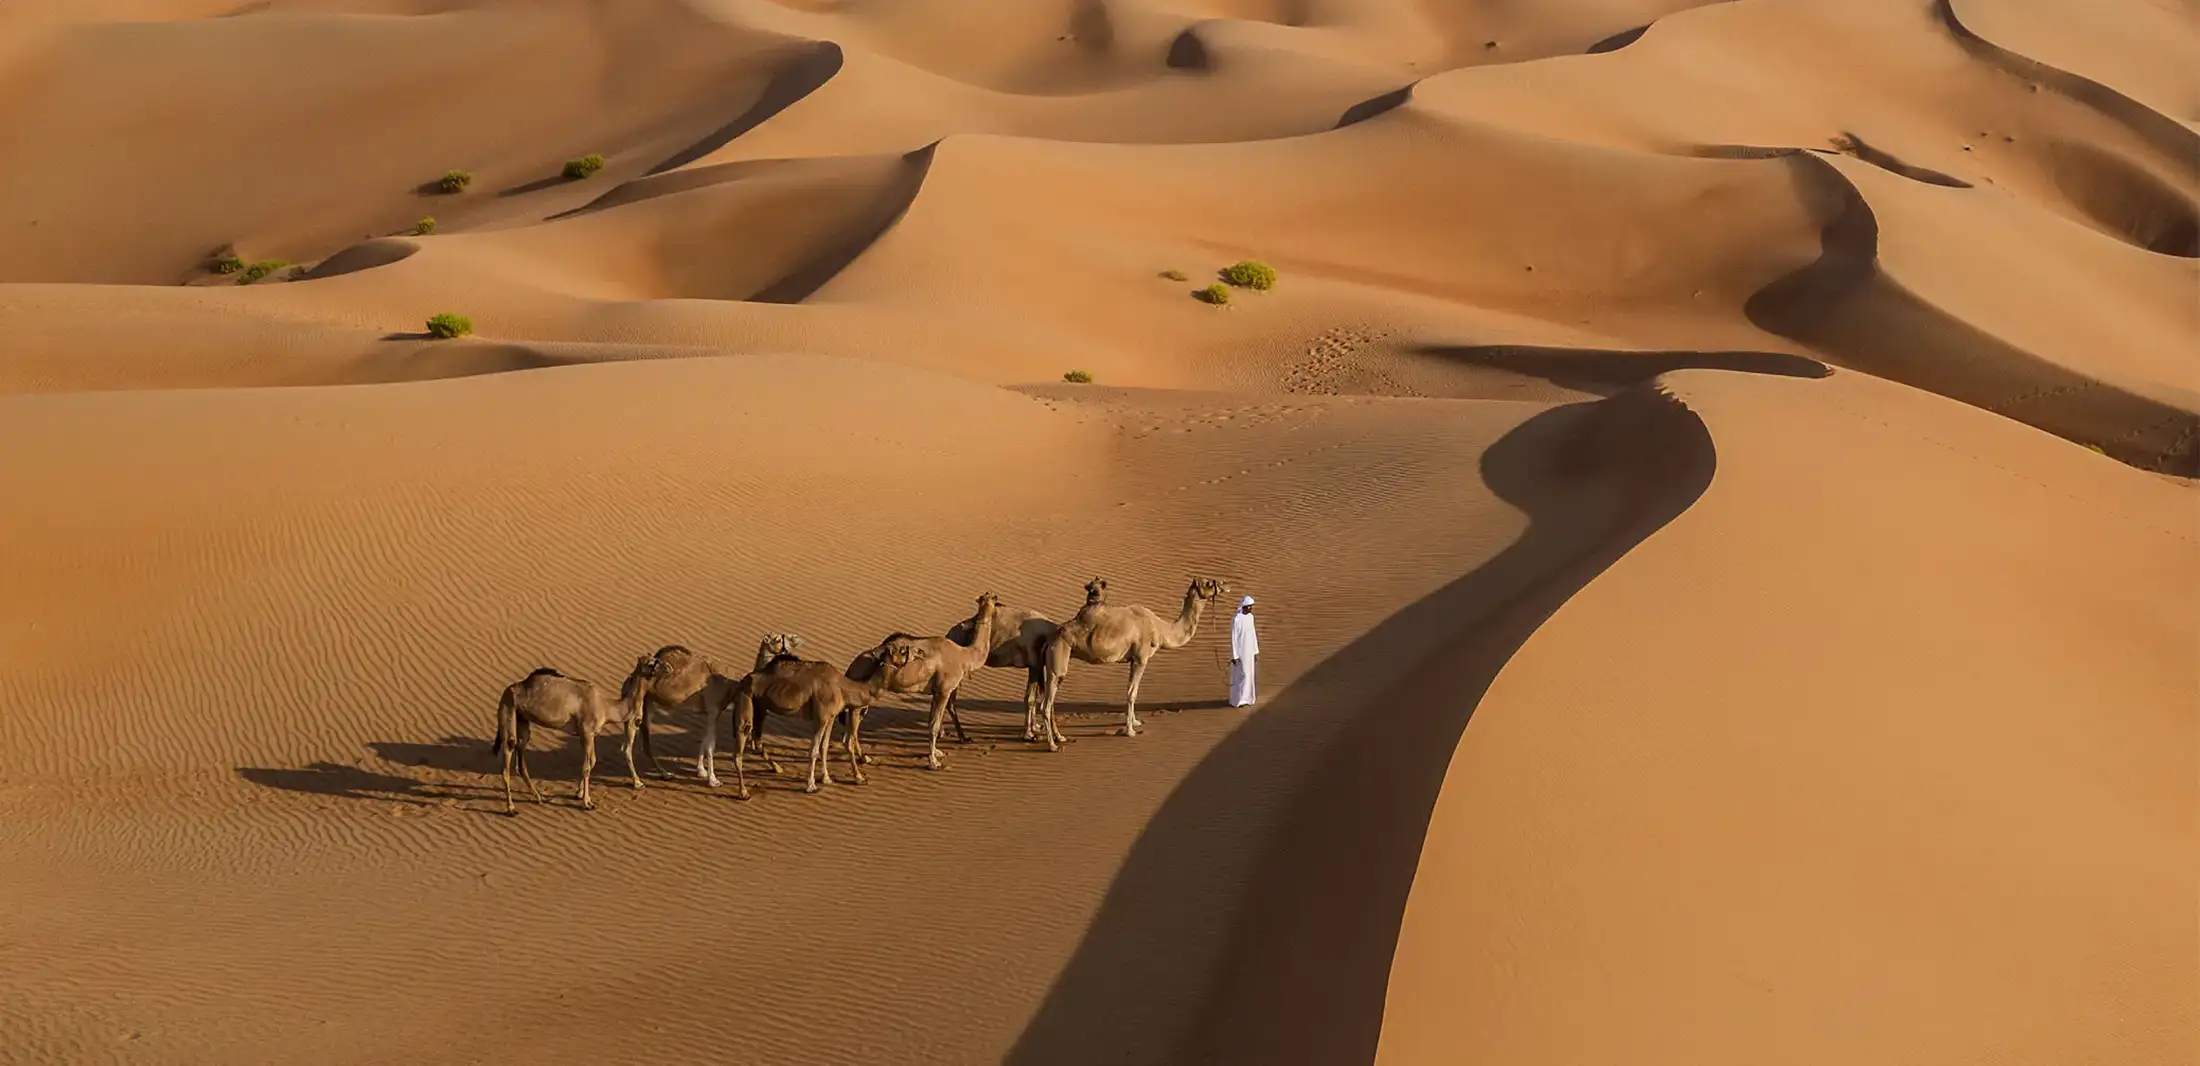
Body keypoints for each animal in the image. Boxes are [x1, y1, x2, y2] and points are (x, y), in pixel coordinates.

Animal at [491, 654, 665, 815]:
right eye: (651, 662)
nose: (666, 667)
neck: (606, 707)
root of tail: (508, 690)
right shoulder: (587, 732)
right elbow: (587, 766)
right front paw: (587, 803)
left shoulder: (589, 734)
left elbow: (591, 762)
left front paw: (579, 793)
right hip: (507, 707)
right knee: (508, 753)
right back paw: (511, 808)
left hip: (522, 718)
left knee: (521, 755)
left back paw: (538, 798)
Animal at [726, 644, 913, 796]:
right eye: (901, 651)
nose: (912, 653)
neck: (843, 687)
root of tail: (741, 682)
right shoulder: (821, 717)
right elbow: (814, 751)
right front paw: (812, 786)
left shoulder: (831, 716)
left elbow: (824, 748)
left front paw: (827, 778)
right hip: (745, 700)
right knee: (739, 747)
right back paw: (744, 792)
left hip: (760, 707)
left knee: (757, 741)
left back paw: (777, 768)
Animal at [862, 591, 1000, 770]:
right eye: (991, 599)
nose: (991, 595)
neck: (965, 656)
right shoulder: (944, 690)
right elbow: (934, 724)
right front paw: (933, 762)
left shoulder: (935, 692)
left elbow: (932, 720)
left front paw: (937, 752)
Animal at [1035, 576, 1229, 749]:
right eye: (1208, 583)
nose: (1226, 584)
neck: (1160, 629)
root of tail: (1049, 639)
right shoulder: (1141, 658)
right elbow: (1132, 692)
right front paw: (1129, 731)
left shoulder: (1132, 660)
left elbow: (1131, 690)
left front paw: (1135, 722)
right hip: (1058, 657)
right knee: (1046, 704)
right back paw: (1052, 745)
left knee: (1051, 701)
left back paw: (1060, 737)